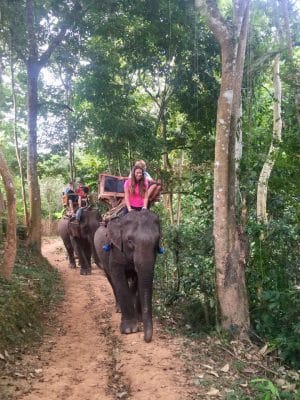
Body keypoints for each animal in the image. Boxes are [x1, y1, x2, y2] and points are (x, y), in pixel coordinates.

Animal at [94, 208, 161, 342]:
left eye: (158, 241)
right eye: (130, 241)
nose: (146, 339)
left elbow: (138, 279)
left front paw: (139, 320)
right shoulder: (115, 251)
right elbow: (119, 279)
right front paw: (130, 330)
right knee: (112, 281)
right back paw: (119, 309)